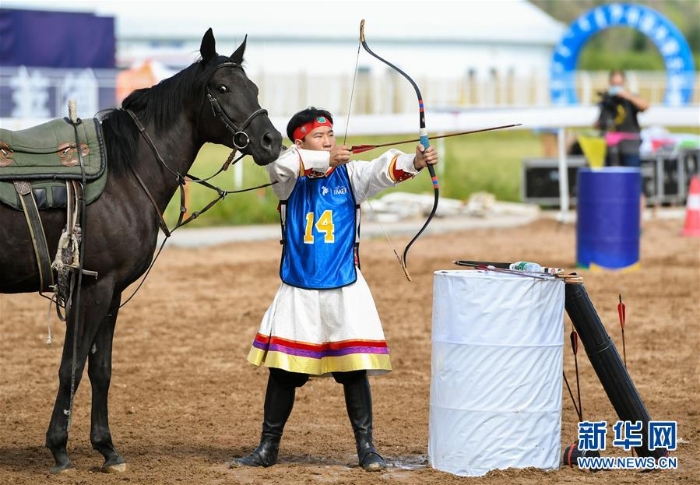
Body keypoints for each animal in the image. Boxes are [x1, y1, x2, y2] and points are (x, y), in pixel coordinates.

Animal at [0, 28, 282, 470]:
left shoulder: (110, 291)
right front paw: (59, 447)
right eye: (221, 88)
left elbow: (100, 368)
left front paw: (107, 448)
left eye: (252, 88)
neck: (124, 171)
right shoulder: (92, 287)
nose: (272, 140)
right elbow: (72, 366)